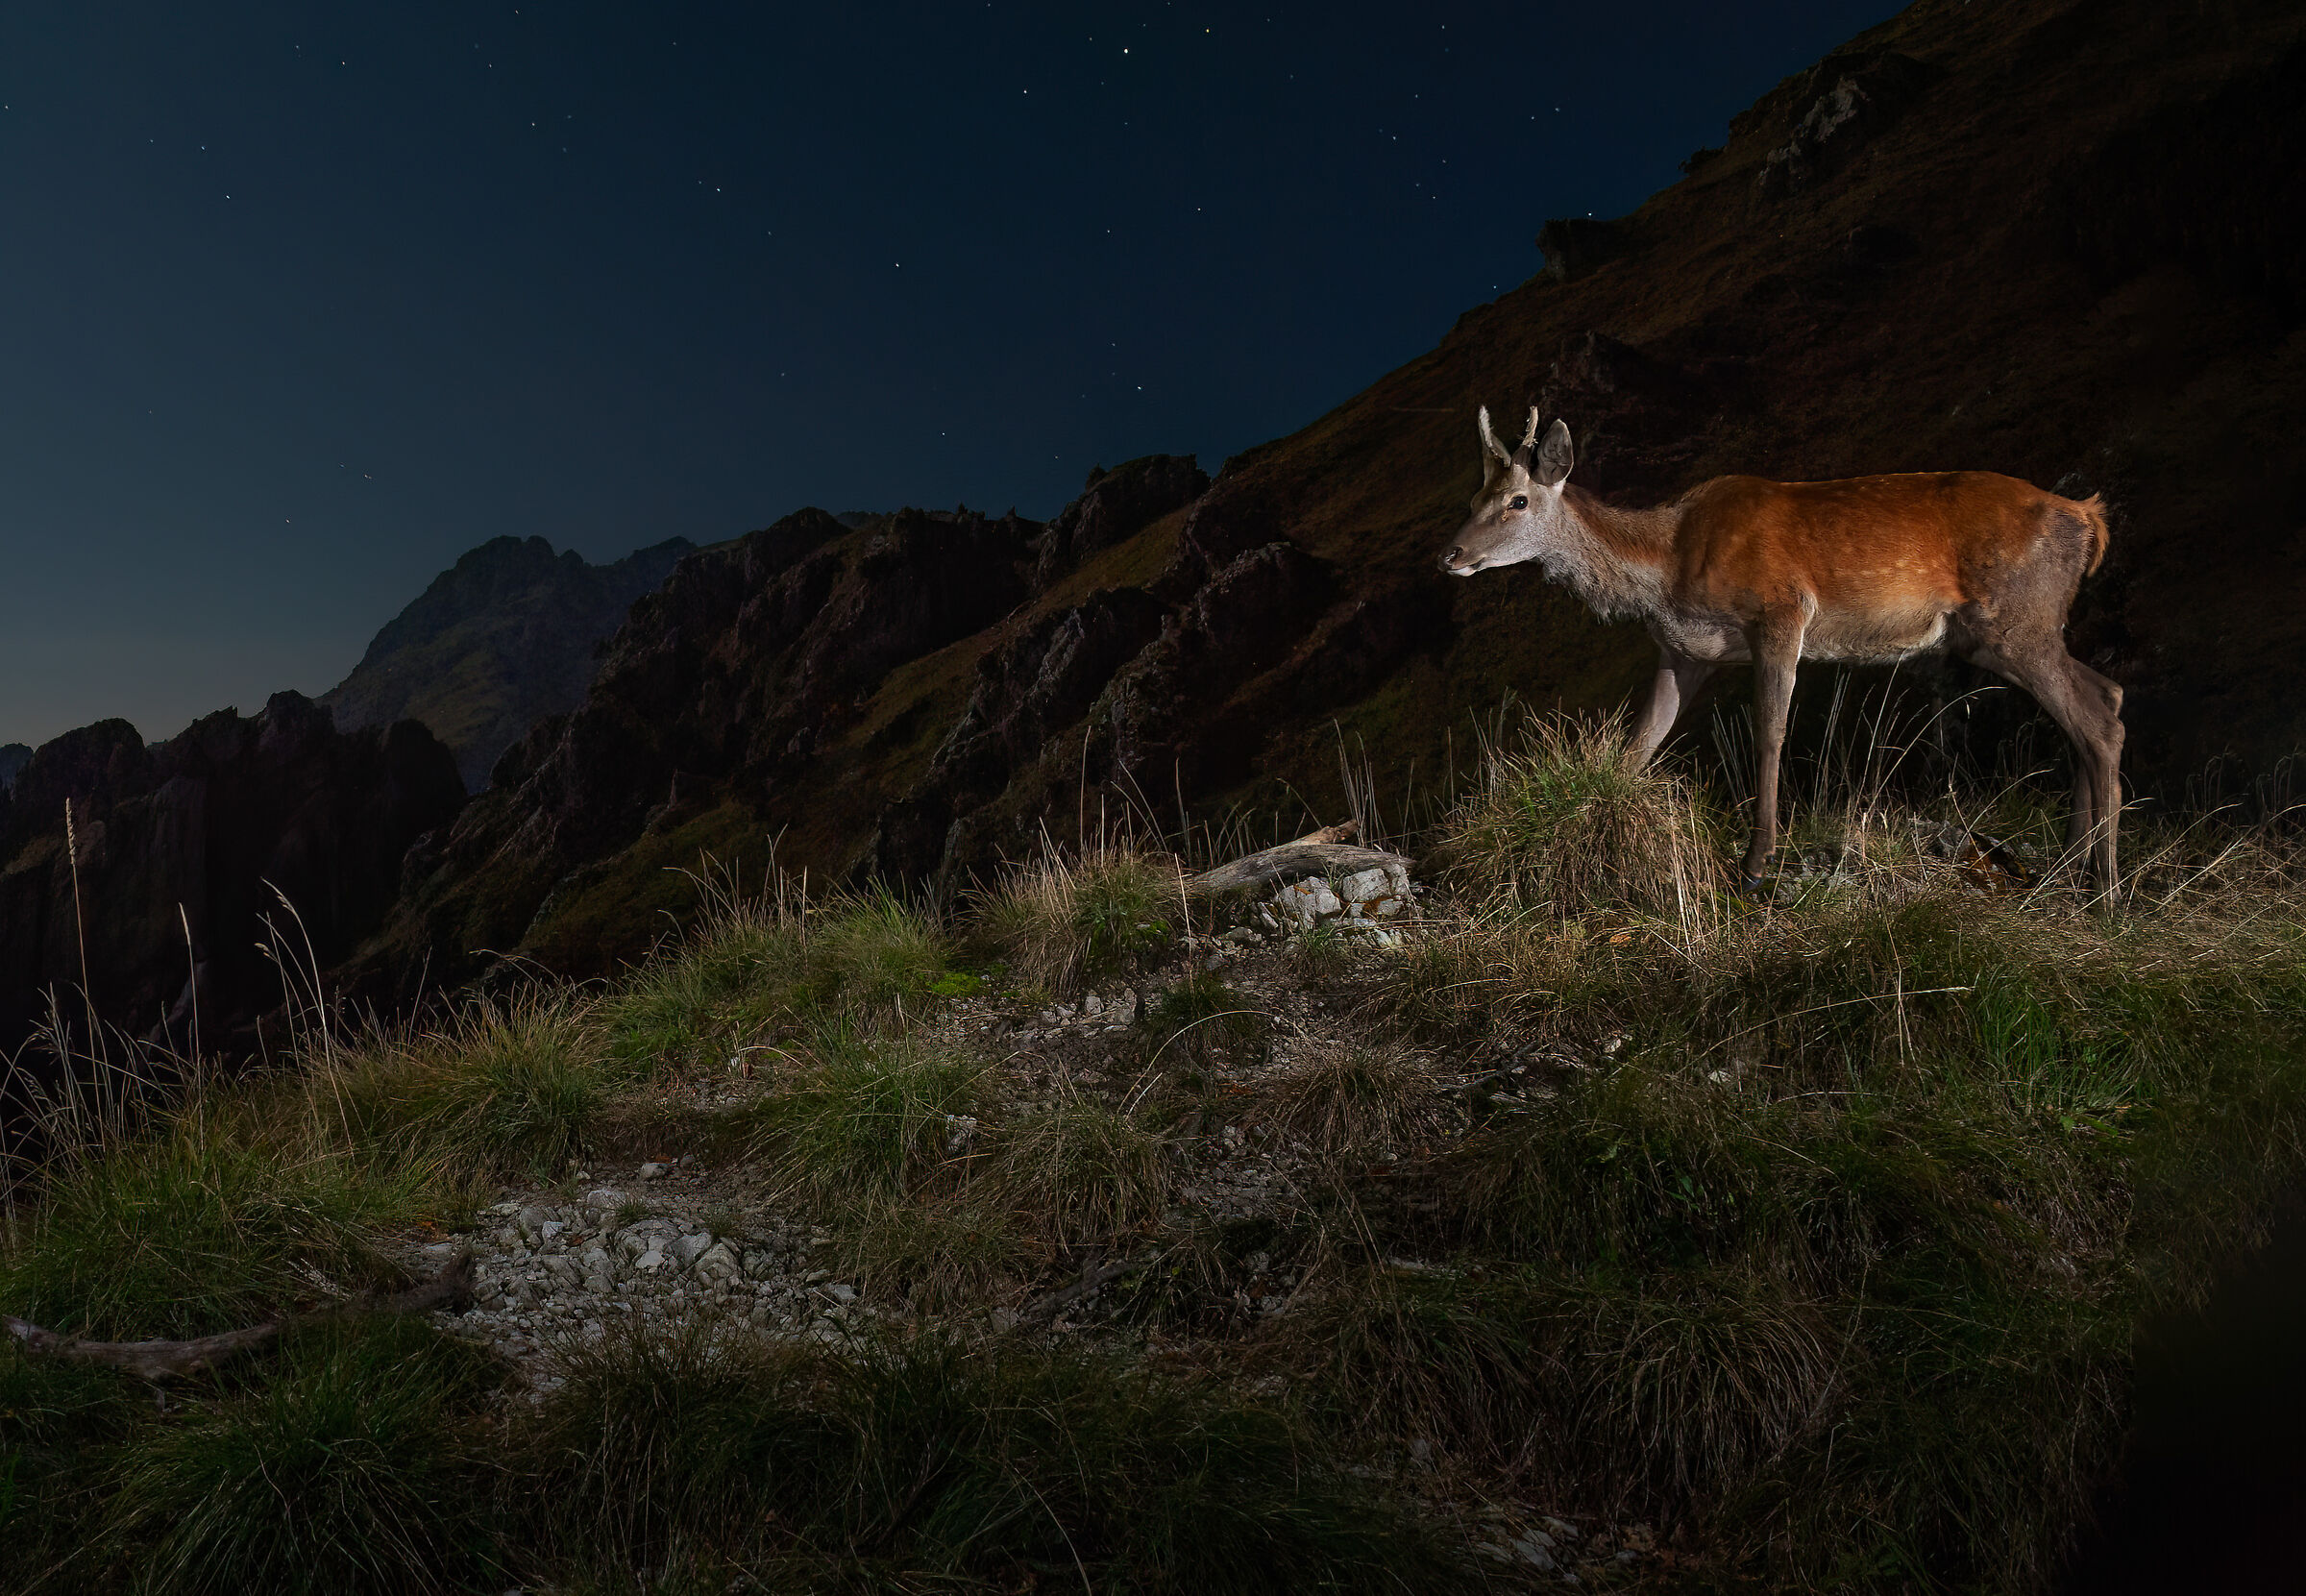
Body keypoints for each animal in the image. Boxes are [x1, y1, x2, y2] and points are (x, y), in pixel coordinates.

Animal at [1439, 408, 2124, 894]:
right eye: (1472, 500)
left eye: (1518, 500)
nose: (1451, 554)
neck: (1668, 564)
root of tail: (2087, 517)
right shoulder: (1686, 651)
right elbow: (1640, 741)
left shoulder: (1781, 611)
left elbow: (1770, 730)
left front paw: (1757, 859)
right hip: (2017, 630)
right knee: (2103, 697)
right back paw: (2068, 868)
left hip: (2015, 620)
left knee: (2098, 722)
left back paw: (2105, 885)